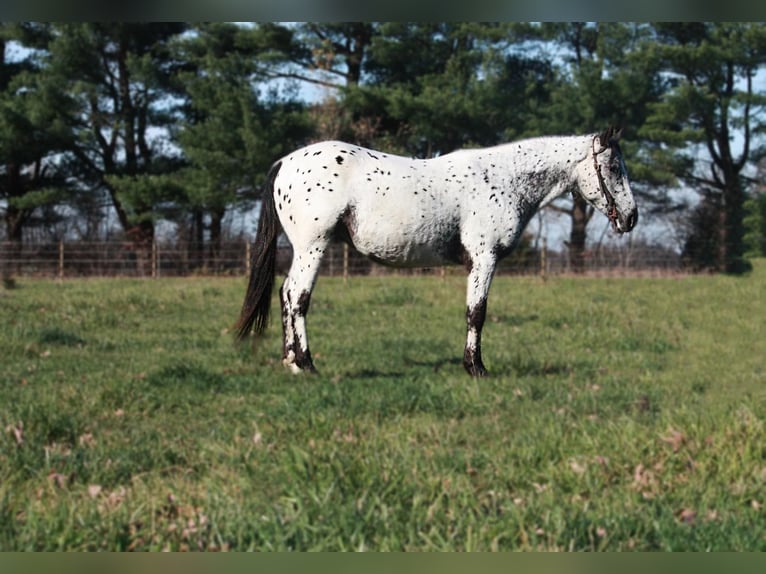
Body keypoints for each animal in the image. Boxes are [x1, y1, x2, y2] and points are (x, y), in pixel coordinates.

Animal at [237, 127, 640, 378]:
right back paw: (305, 364)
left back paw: (291, 362)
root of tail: (286, 162)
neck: (504, 178)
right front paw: (476, 368)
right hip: (313, 246)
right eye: (613, 167)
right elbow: (476, 313)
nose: (632, 217)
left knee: (286, 294)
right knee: (297, 298)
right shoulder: (483, 259)